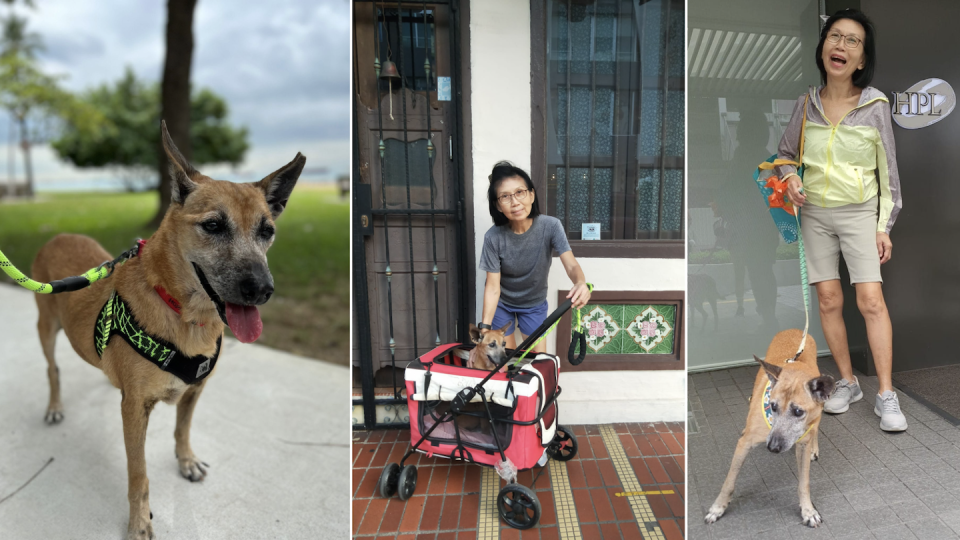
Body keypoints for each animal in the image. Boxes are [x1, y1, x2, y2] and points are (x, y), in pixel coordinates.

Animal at [31, 122, 304, 540]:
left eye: (267, 231)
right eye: (213, 225)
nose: (261, 290)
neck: (184, 315)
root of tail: (57, 235)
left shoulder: (195, 390)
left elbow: (182, 429)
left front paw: (186, 461)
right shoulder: (134, 410)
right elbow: (138, 474)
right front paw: (139, 522)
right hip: (45, 327)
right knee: (52, 368)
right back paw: (54, 406)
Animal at [704, 330, 832, 528]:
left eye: (798, 411)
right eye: (773, 406)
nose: (772, 447)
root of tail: (795, 329)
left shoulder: (803, 444)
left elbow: (804, 483)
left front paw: (808, 511)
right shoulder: (744, 443)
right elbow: (729, 481)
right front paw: (718, 508)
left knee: (815, 428)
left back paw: (814, 447)